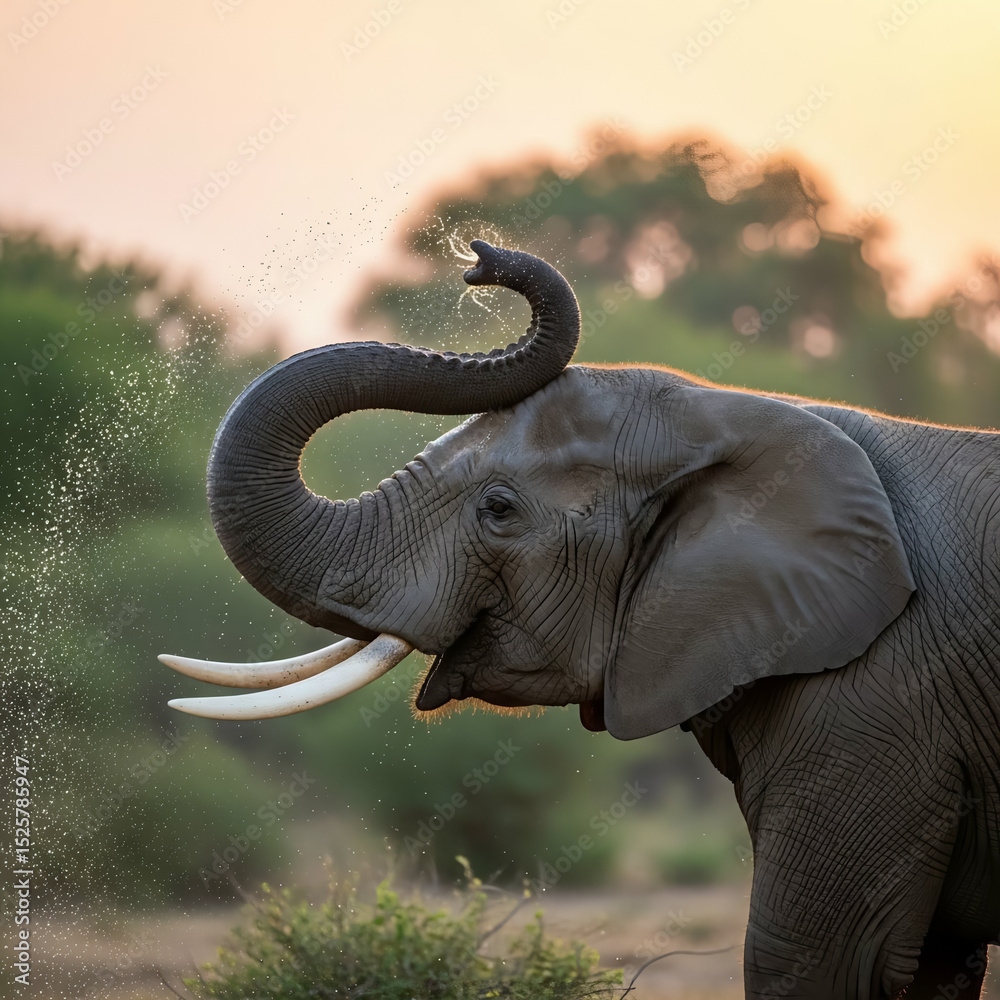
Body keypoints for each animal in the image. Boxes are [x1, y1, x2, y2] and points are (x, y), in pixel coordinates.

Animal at [162, 240, 1000, 999]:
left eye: (499, 510)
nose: (481, 258)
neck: (743, 410)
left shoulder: (879, 701)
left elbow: (816, 960)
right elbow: (931, 966)